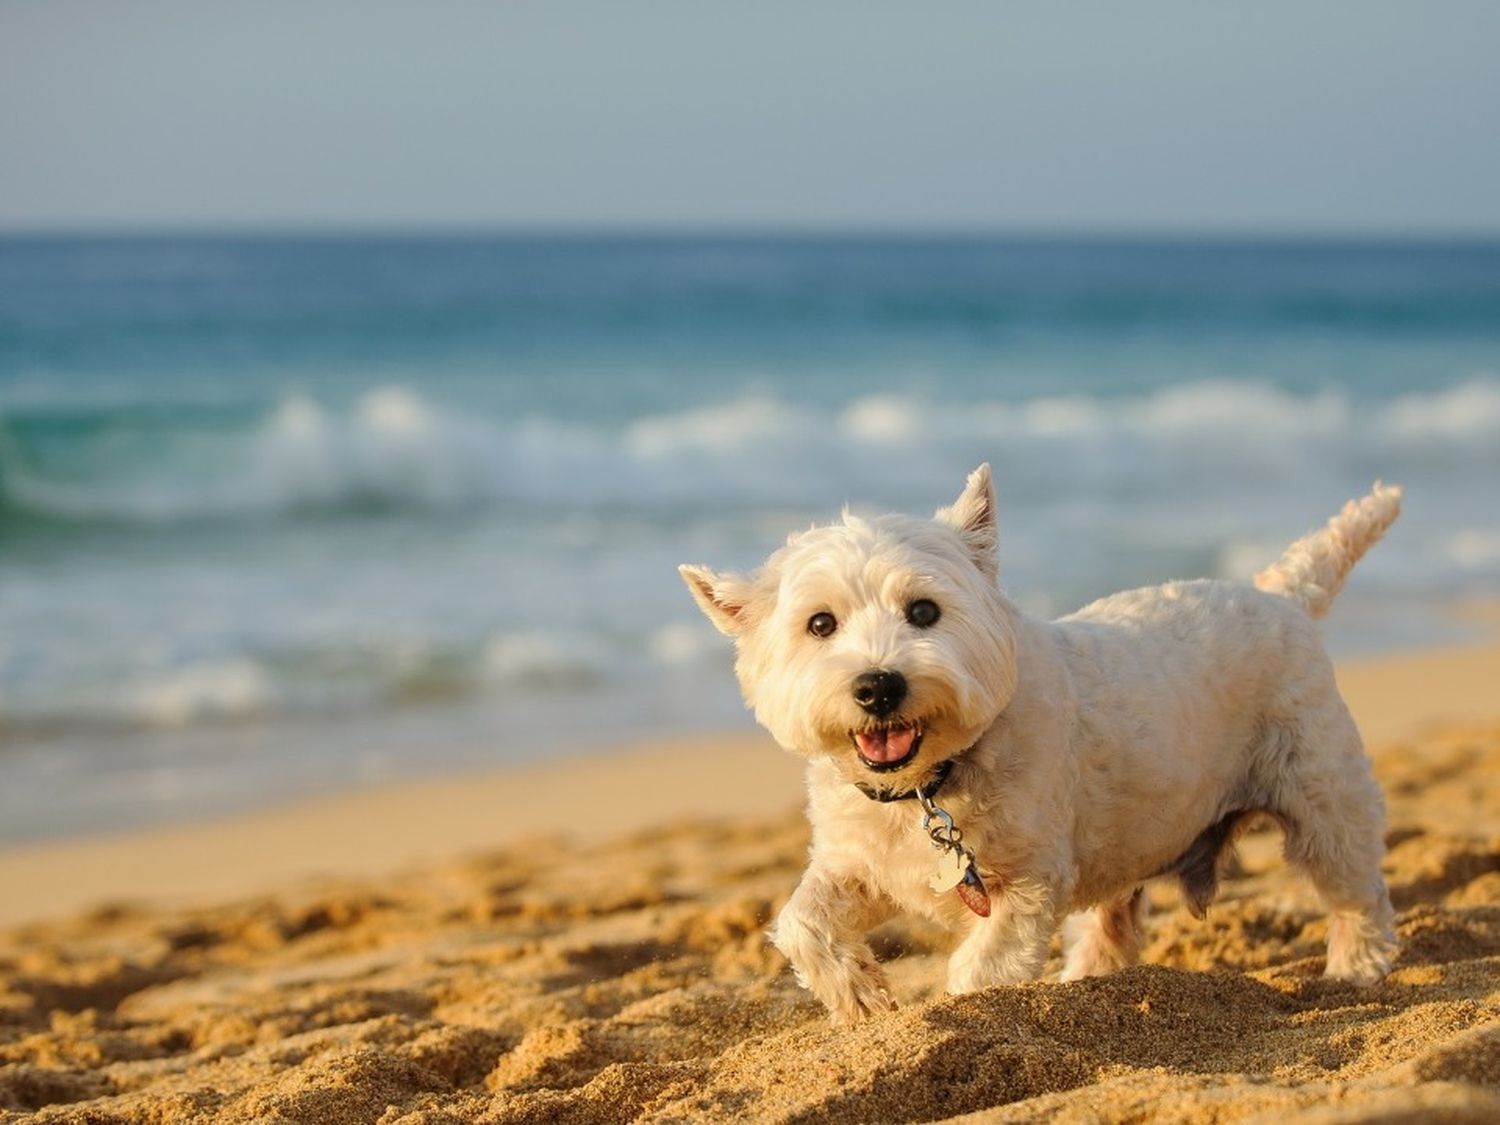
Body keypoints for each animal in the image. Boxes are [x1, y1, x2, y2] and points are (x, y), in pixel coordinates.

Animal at [684, 468, 1404, 1020]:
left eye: (924, 611)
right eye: (820, 624)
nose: (878, 686)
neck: (928, 784)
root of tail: (1282, 595)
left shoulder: (1028, 881)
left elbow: (981, 967)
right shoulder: (860, 863)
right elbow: (802, 921)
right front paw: (861, 998)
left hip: (1320, 792)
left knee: (1355, 886)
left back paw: (1355, 966)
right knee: (1112, 923)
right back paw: (1087, 980)